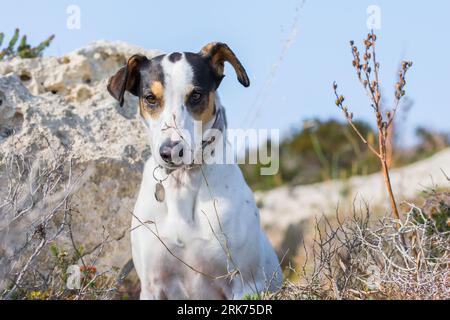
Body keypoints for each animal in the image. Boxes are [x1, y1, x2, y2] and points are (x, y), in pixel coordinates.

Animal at [107, 42, 282, 300]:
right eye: (150, 98)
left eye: (196, 95)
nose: (170, 151)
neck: (183, 183)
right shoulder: (152, 285)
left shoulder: (245, 284)